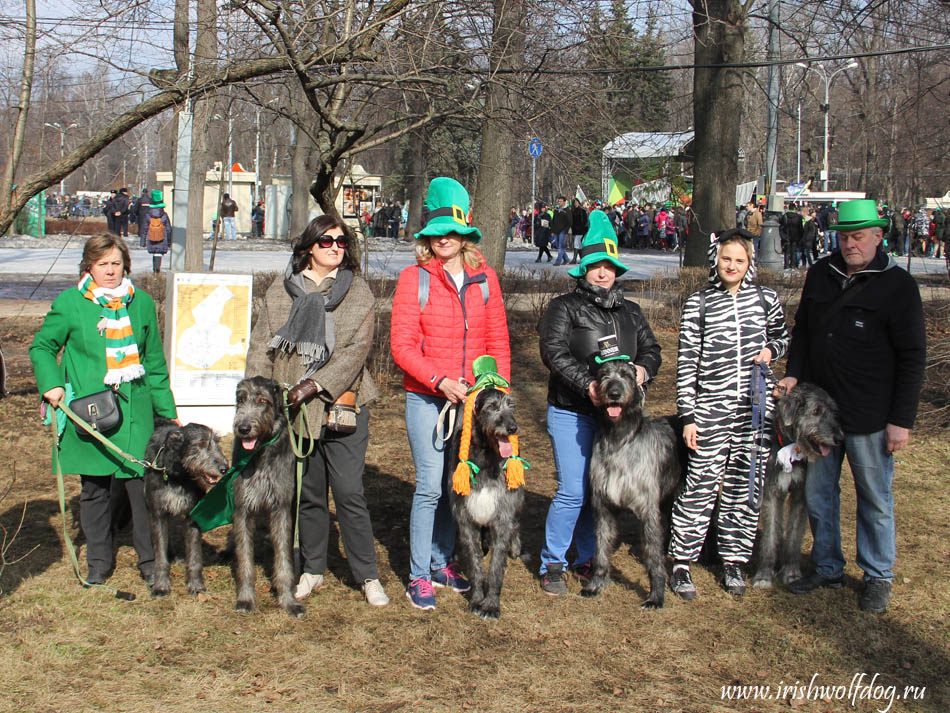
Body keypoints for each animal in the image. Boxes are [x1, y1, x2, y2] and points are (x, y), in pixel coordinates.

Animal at [143, 420, 229, 596]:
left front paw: (195, 584)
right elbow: (160, 556)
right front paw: (161, 586)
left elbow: (195, 556)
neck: (178, 475)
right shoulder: (157, 513)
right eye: (200, 444)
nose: (225, 468)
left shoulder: (193, 514)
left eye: (216, 442)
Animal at [231, 378, 304, 616]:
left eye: (263, 401)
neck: (260, 453)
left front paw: (288, 600)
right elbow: (245, 560)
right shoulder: (242, 508)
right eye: (241, 399)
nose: (243, 428)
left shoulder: (281, 507)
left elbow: (284, 560)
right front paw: (245, 598)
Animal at [450, 384, 524, 616]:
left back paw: (515, 548)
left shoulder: (503, 515)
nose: (513, 428)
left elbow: (495, 566)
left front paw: (491, 604)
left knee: (516, 525)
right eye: (492, 406)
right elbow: (474, 565)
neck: (485, 456)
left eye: (512, 406)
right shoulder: (465, 518)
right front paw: (476, 599)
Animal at [584, 362, 688, 608]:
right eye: (603, 375)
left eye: (627, 375)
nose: (614, 393)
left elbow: (653, 557)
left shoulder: (647, 509)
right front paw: (596, 584)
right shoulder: (603, 507)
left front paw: (656, 596)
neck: (619, 438)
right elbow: (600, 550)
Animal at [756, 382, 844, 588]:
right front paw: (764, 575)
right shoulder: (771, 493)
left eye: (833, 411)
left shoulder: (800, 496)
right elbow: (770, 537)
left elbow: (794, 537)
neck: (789, 445)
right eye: (816, 411)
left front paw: (791, 572)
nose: (840, 438)